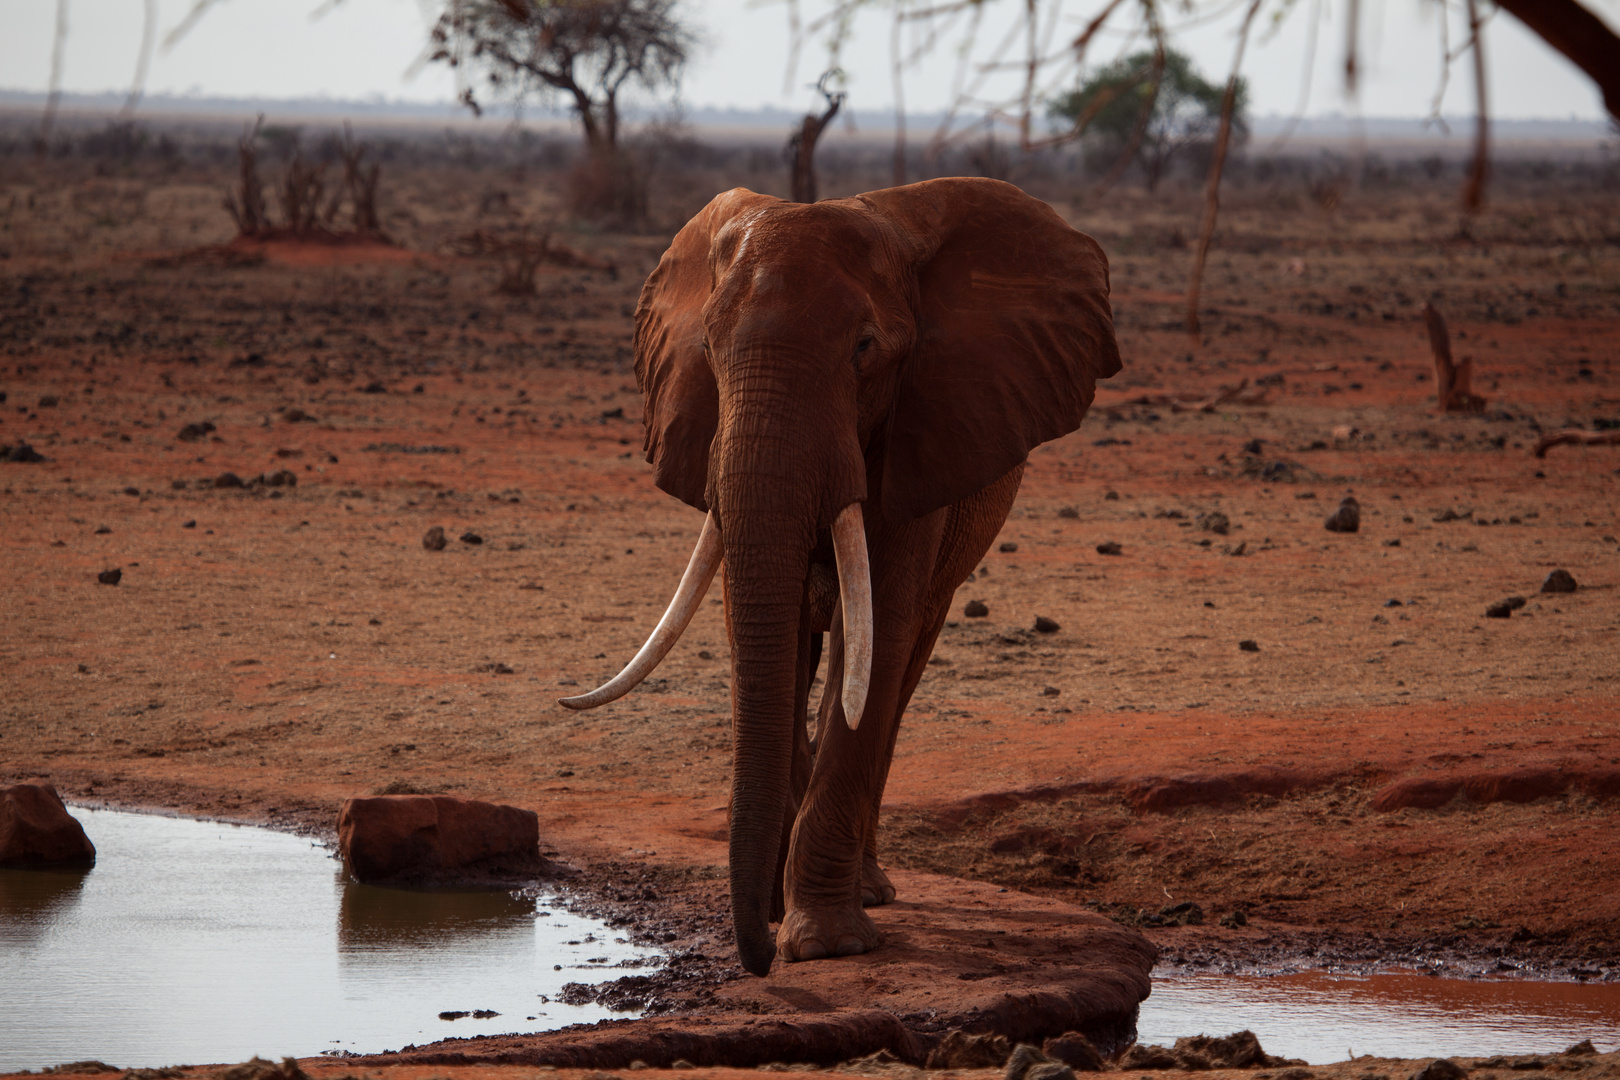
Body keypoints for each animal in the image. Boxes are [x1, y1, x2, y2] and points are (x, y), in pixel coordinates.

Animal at [563, 179, 1121, 977]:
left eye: (864, 349)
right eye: (706, 347)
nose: (757, 959)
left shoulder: (923, 435)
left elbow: (874, 645)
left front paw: (824, 945)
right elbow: (773, 636)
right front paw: (778, 915)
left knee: (897, 673)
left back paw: (871, 889)